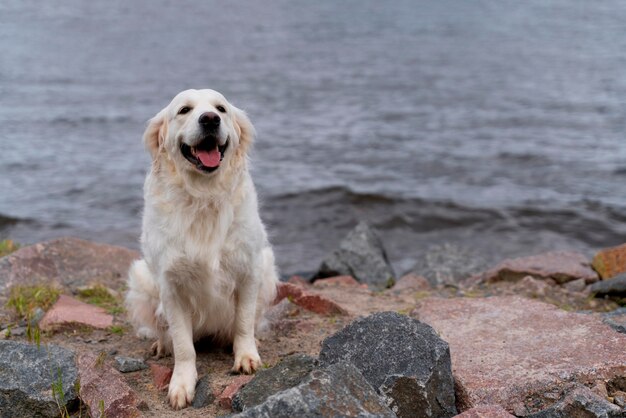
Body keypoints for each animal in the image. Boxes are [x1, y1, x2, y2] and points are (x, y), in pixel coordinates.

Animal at [124, 89, 276, 408]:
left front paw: (246, 356)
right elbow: (184, 344)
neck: (204, 196)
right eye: (184, 110)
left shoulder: (249, 270)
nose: (209, 119)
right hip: (141, 277)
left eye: (221, 108)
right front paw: (181, 383)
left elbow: (244, 321)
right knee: (165, 331)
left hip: (268, 266)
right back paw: (162, 345)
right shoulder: (171, 286)